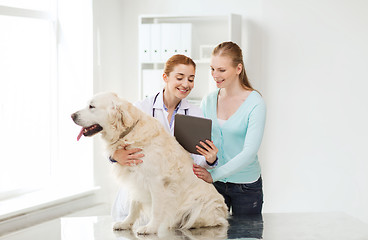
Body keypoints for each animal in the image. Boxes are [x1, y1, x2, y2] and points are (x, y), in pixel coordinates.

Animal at [70, 92, 229, 234]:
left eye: (91, 106)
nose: (72, 115)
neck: (129, 133)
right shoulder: (136, 179)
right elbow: (133, 206)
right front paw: (126, 223)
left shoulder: (156, 181)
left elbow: (157, 209)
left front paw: (150, 228)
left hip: (201, 206)